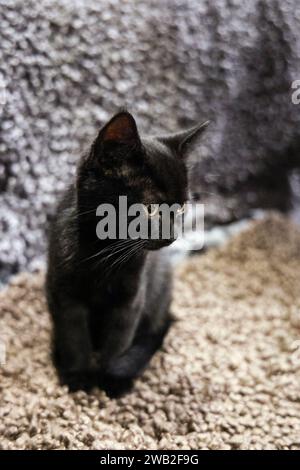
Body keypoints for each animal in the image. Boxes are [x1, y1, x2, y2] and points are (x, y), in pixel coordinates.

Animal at [45, 111, 209, 396]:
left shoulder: (130, 298)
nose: (172, 236)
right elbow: (73, 336)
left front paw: (111, 380)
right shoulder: (65, 294)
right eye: (150, 209)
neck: (103, 252)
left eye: (180, 209)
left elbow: (118, 342)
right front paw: (78, 377)